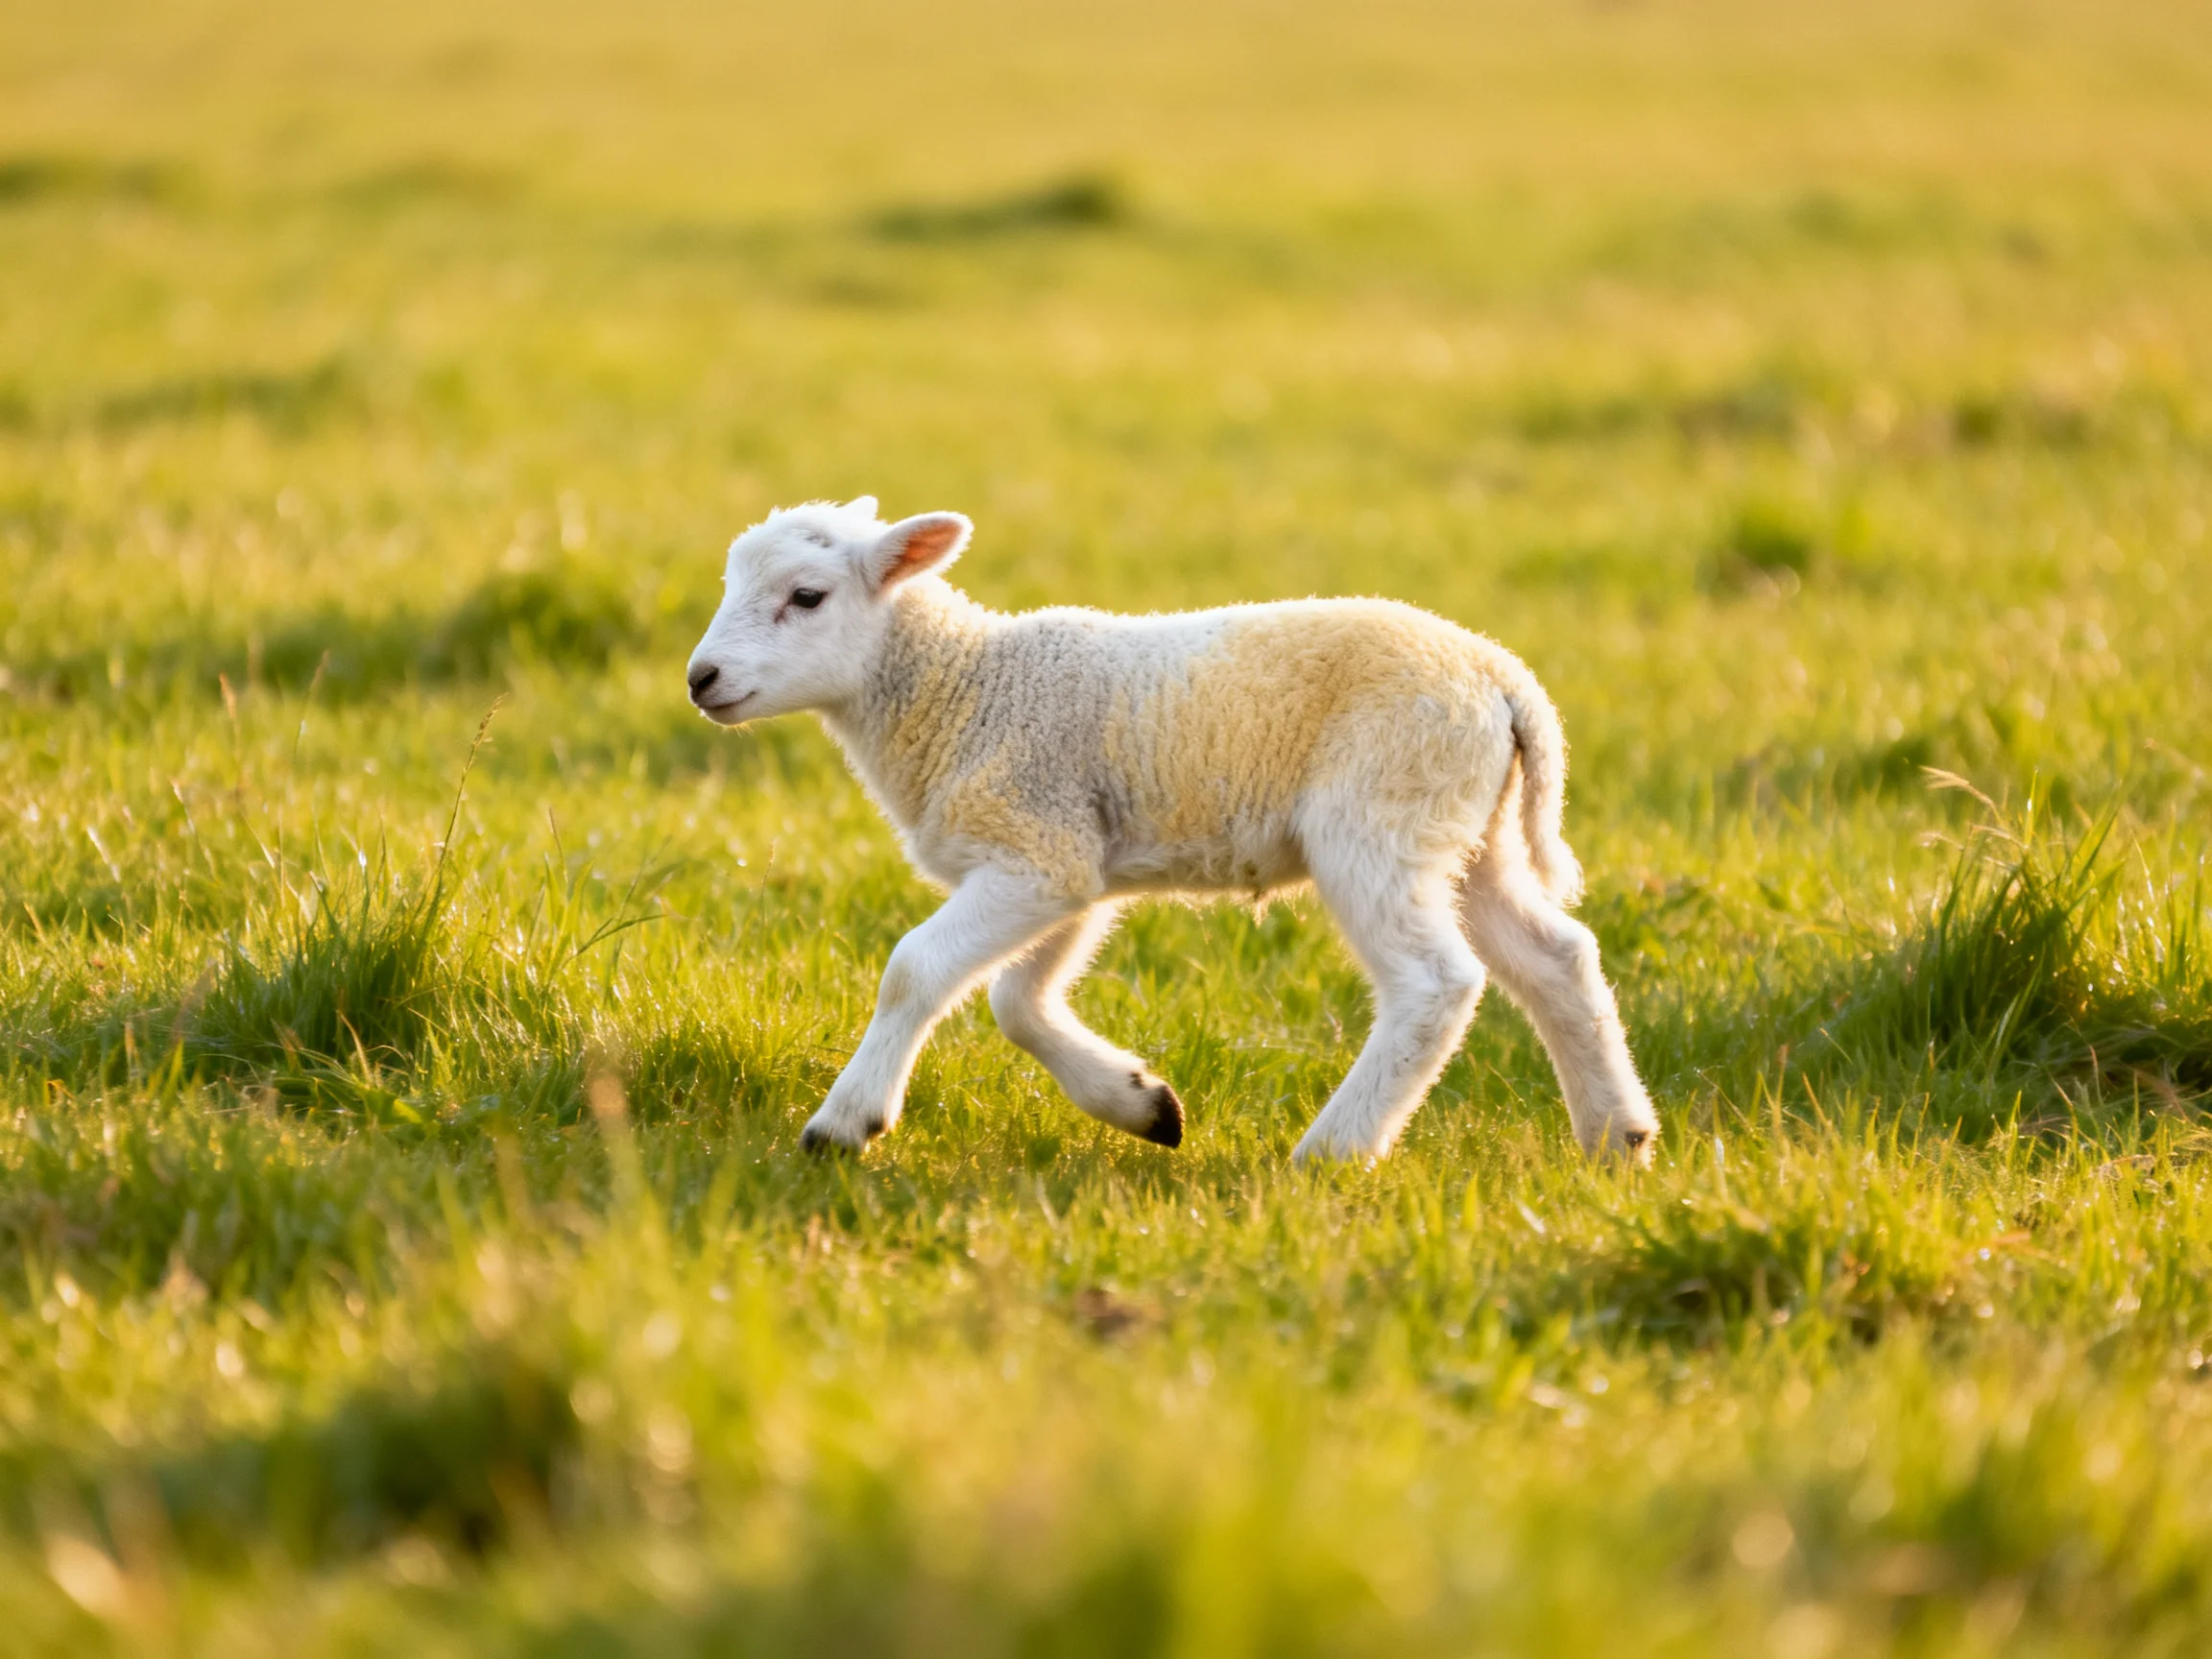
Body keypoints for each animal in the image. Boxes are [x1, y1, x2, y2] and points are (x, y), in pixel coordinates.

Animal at [685, 497, 1659, 1166]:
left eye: (807, 597)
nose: (701, 678)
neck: (963, 689)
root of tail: (1503, 680)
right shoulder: (1068, 860)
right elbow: (1018, 1002)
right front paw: (1143, 1105)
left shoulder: (1034, 847)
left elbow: (914, 970)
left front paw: (844, 1124)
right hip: (1468, 830)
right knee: (1558, 958)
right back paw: (1618, 1136)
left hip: (1380, 814)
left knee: (1435, 983)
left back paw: (1333, 1151)